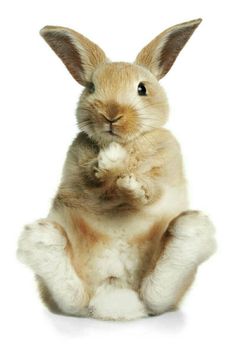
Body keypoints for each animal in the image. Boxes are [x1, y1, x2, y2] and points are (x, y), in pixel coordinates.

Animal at [16, 20, 216, 322]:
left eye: (142, 89)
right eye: (91, 87)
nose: (111, 114)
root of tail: (115, 297)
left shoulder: (165, 169)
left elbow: (151, 189)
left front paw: (129, 181)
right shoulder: (79, 175)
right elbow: (93, 184)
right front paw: (109, 163)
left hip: (164, 285)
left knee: (158, 290)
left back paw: (188, 232)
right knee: (71, 298)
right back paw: (43, 238)